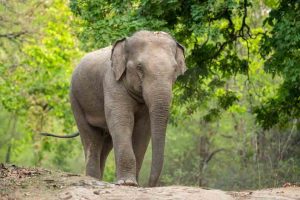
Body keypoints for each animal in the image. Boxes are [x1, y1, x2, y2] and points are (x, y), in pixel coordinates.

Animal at [44, 30, 185, 187]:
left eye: (175, 69)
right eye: (140, 67)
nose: (149, 185)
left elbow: (142, 129)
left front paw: (133, 183)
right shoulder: (112, 82)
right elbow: (122, 120)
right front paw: (127, 183)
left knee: (106, 143)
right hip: (75, 100)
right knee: (91, 138)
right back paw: (93, 178)